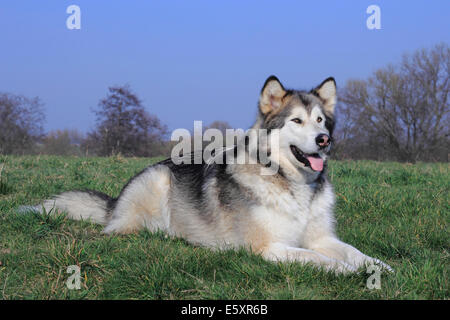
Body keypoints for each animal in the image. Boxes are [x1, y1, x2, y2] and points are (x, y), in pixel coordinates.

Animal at [22, 76, 392, 274]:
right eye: (297, 121)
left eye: (320, 120)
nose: (324, 139)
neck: (292, 185)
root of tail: (114, 202)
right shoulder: (269, 248)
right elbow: (318, 258)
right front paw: (346, 272)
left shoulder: (321, 237)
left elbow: (353, 252)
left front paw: (379, 266)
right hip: (156, 182)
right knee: (128, 229)